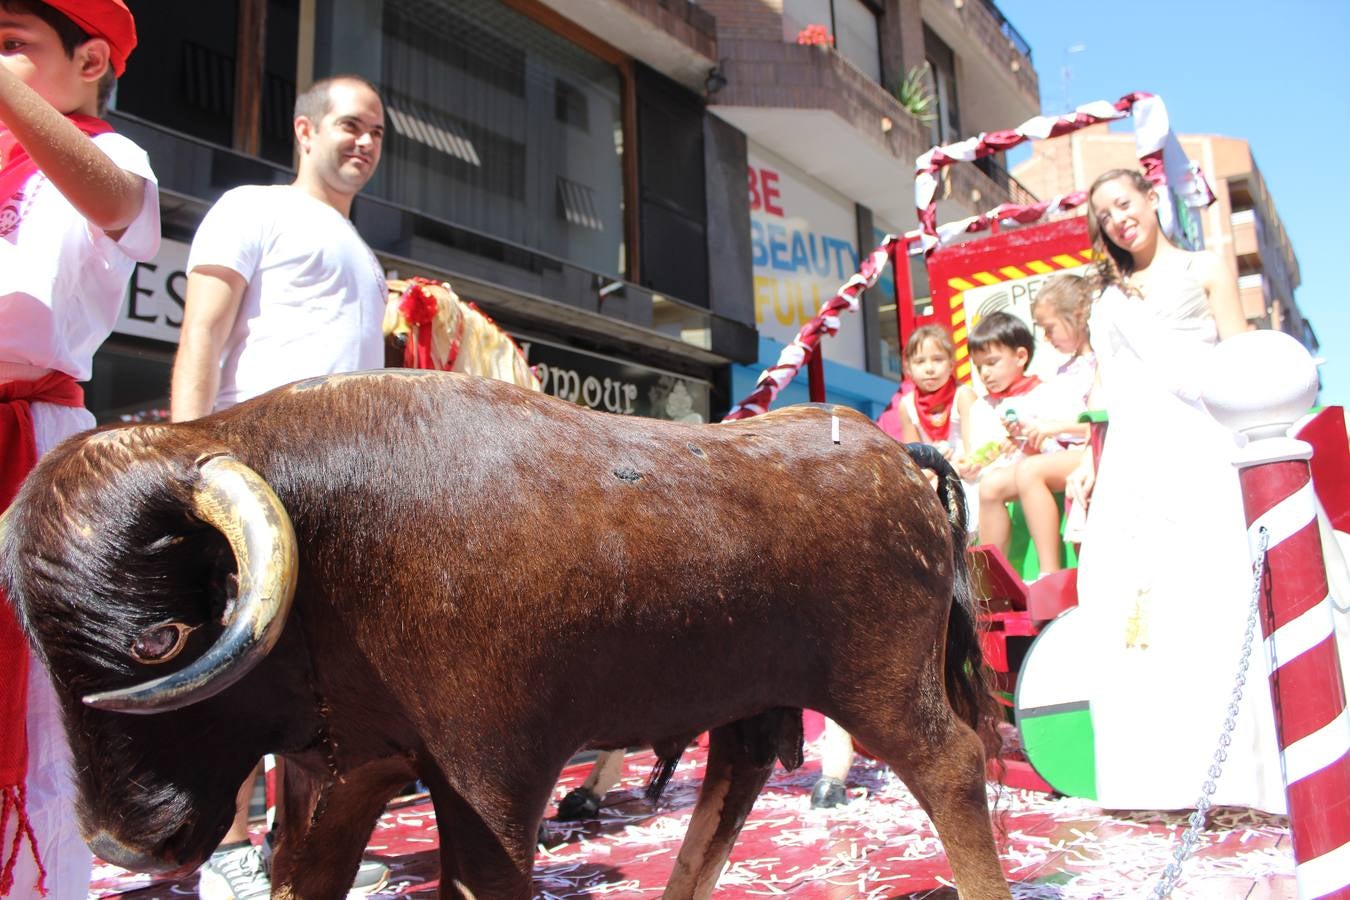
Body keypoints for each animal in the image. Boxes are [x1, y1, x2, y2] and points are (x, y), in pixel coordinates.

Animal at [0, 369, 1015, 895]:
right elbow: (303, 873)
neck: (325, 538)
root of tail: (894, 458)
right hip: (754, 697)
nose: (121, 848)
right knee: (737, 779)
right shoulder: (342, 777)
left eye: (158, 641)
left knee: (952, 768)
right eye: (43, 650)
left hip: (884, 690)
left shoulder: (489, 784)